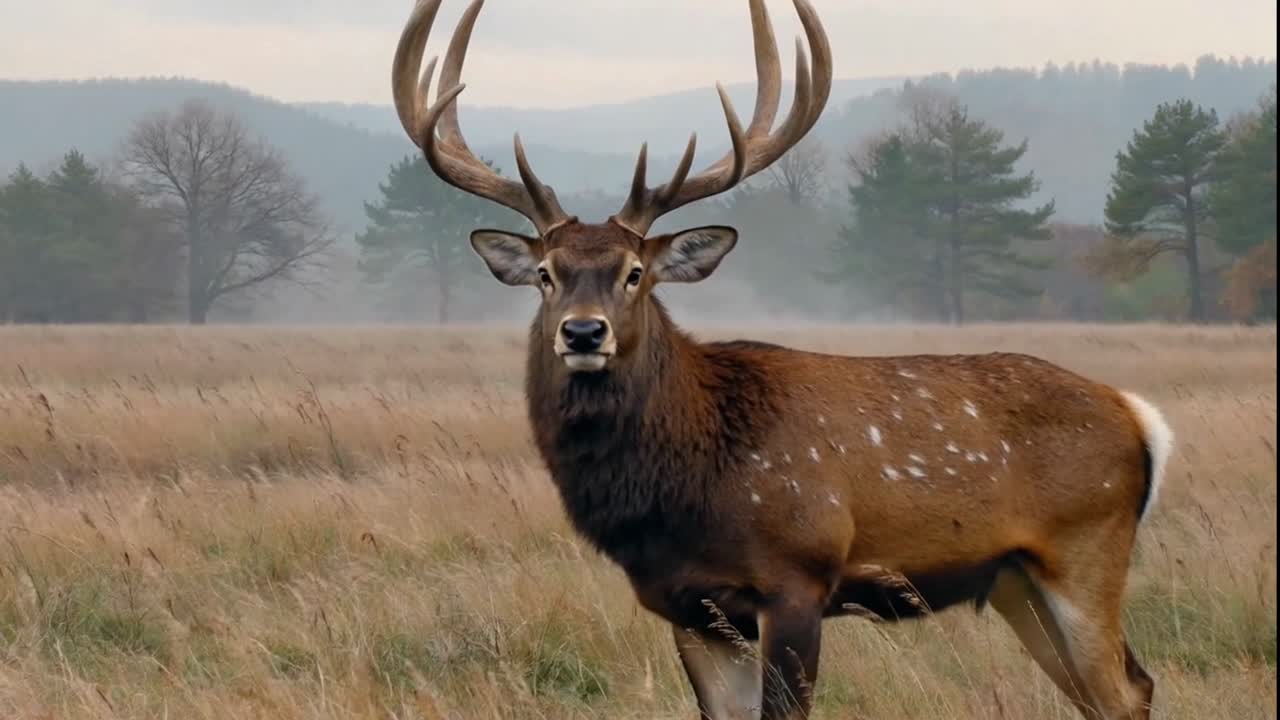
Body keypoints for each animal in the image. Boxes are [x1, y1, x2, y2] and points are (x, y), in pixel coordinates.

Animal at [391, 1, 1175, 718]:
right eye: (546, 273)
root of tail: (1142, 419)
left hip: (1086, 547)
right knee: (1113, 691)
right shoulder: (693, 608)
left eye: (635, 273)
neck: (688, 487)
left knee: (1127, 687)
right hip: (1015, 578)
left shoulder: (797, 575)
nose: (584, 333)